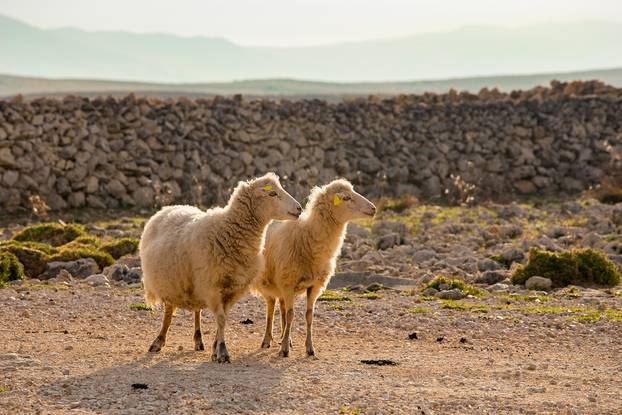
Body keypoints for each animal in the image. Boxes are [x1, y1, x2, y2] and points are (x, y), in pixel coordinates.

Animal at [138, 174, 302, 362]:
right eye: (272, 193)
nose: (299, 208)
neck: (228, 230)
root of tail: (170, 207)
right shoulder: (212, 287)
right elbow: (222, 319)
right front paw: (222, 352)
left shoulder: (232, 289)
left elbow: (222, 318)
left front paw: (215, 349)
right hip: (170, 282)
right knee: (169, 311)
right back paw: (158, 341)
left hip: (193, 283)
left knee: (196, 310)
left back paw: (198, 340)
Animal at [252, 179, 376, 358]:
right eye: (346, 197)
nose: (373, 209)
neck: (307, 236)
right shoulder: (289, 283)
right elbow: (291, 315)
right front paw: (284, 349)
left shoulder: (314, 285)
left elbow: (308, 315)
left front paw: (309, 347)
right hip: (269, 282)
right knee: (271, 309)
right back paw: (267, 340)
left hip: (281, 282)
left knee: (282, 307)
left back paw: (285, 338)